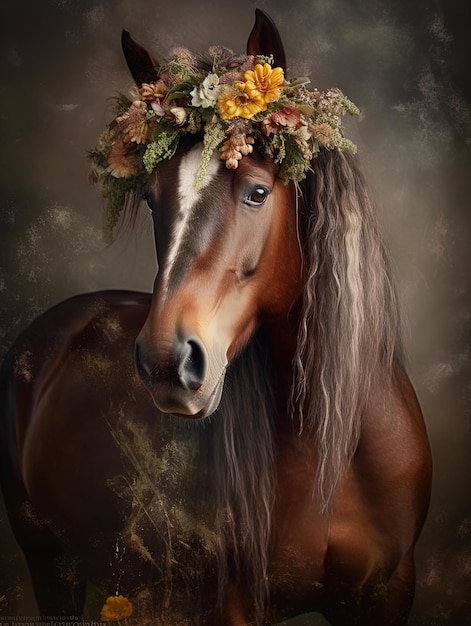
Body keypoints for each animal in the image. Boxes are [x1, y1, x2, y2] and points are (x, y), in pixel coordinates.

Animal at [0, 9, 434, 624]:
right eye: (152, 200)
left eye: (257, 192)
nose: (166, 361)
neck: (335, 452)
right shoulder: (229, 603)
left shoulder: (389, 592)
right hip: (49, 563)